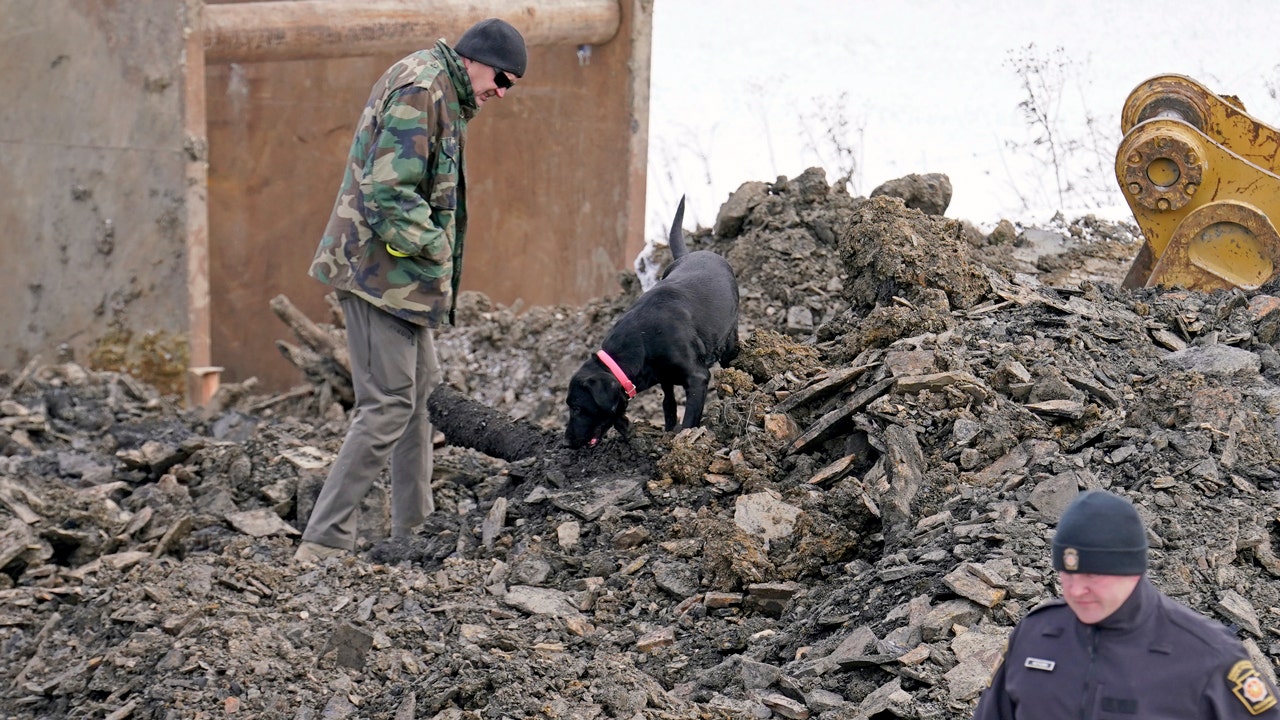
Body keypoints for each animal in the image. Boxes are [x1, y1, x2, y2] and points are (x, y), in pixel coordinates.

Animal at [563, 193, 737, 445]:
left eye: (577, 408)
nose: (565, 442)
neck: (642, 341)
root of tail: (690, 254)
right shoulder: (663, 377)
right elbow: (666, 404)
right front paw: (637, 428)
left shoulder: (697, 378)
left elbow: (689, 417)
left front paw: (681, 439)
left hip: (729, 341)